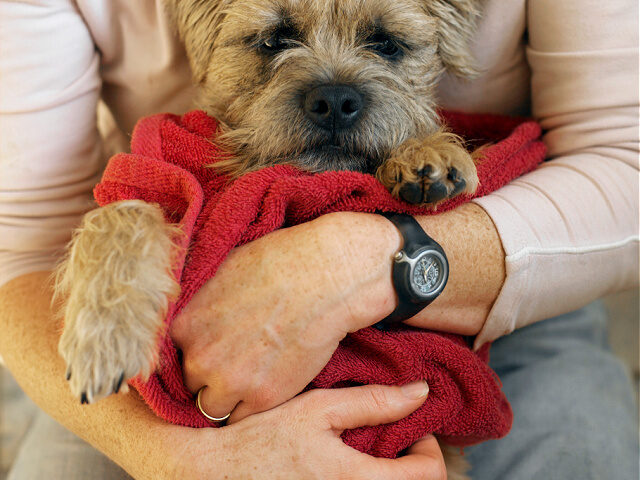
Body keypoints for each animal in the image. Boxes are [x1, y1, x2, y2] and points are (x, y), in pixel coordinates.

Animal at [57, 0, 480, 476]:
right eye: (274, 40)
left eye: (386, 43)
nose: (336, 101)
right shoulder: (169, 187)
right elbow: (122, 211)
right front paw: (103, 336)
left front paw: (429, 153)